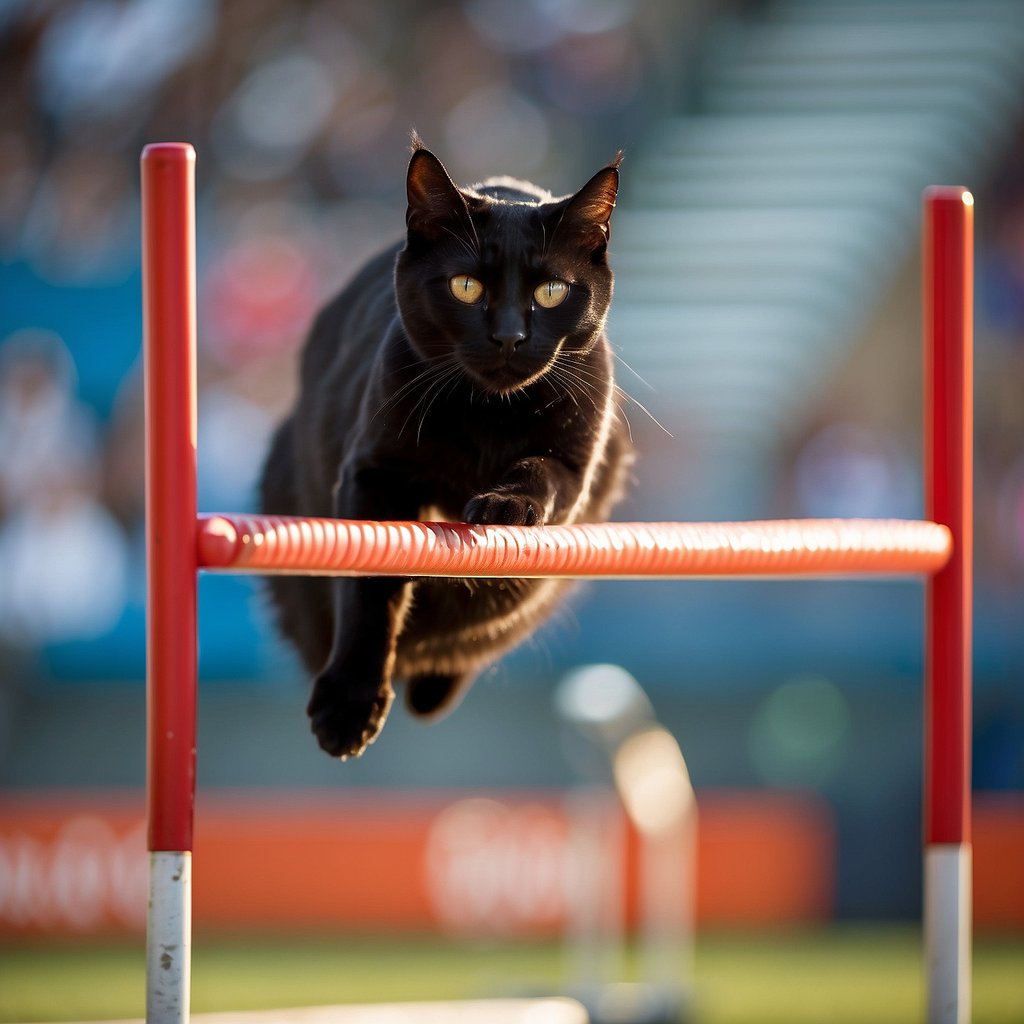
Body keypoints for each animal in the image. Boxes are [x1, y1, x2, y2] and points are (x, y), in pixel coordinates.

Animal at [260, 136, 630, 757]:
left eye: (552, 291)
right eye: (466, 286)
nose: (509, 336)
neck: (490, 416)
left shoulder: (574, 462)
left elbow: (538, 474)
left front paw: (504, 508)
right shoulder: (374, 473)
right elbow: (371, 593)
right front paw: (349, 705)